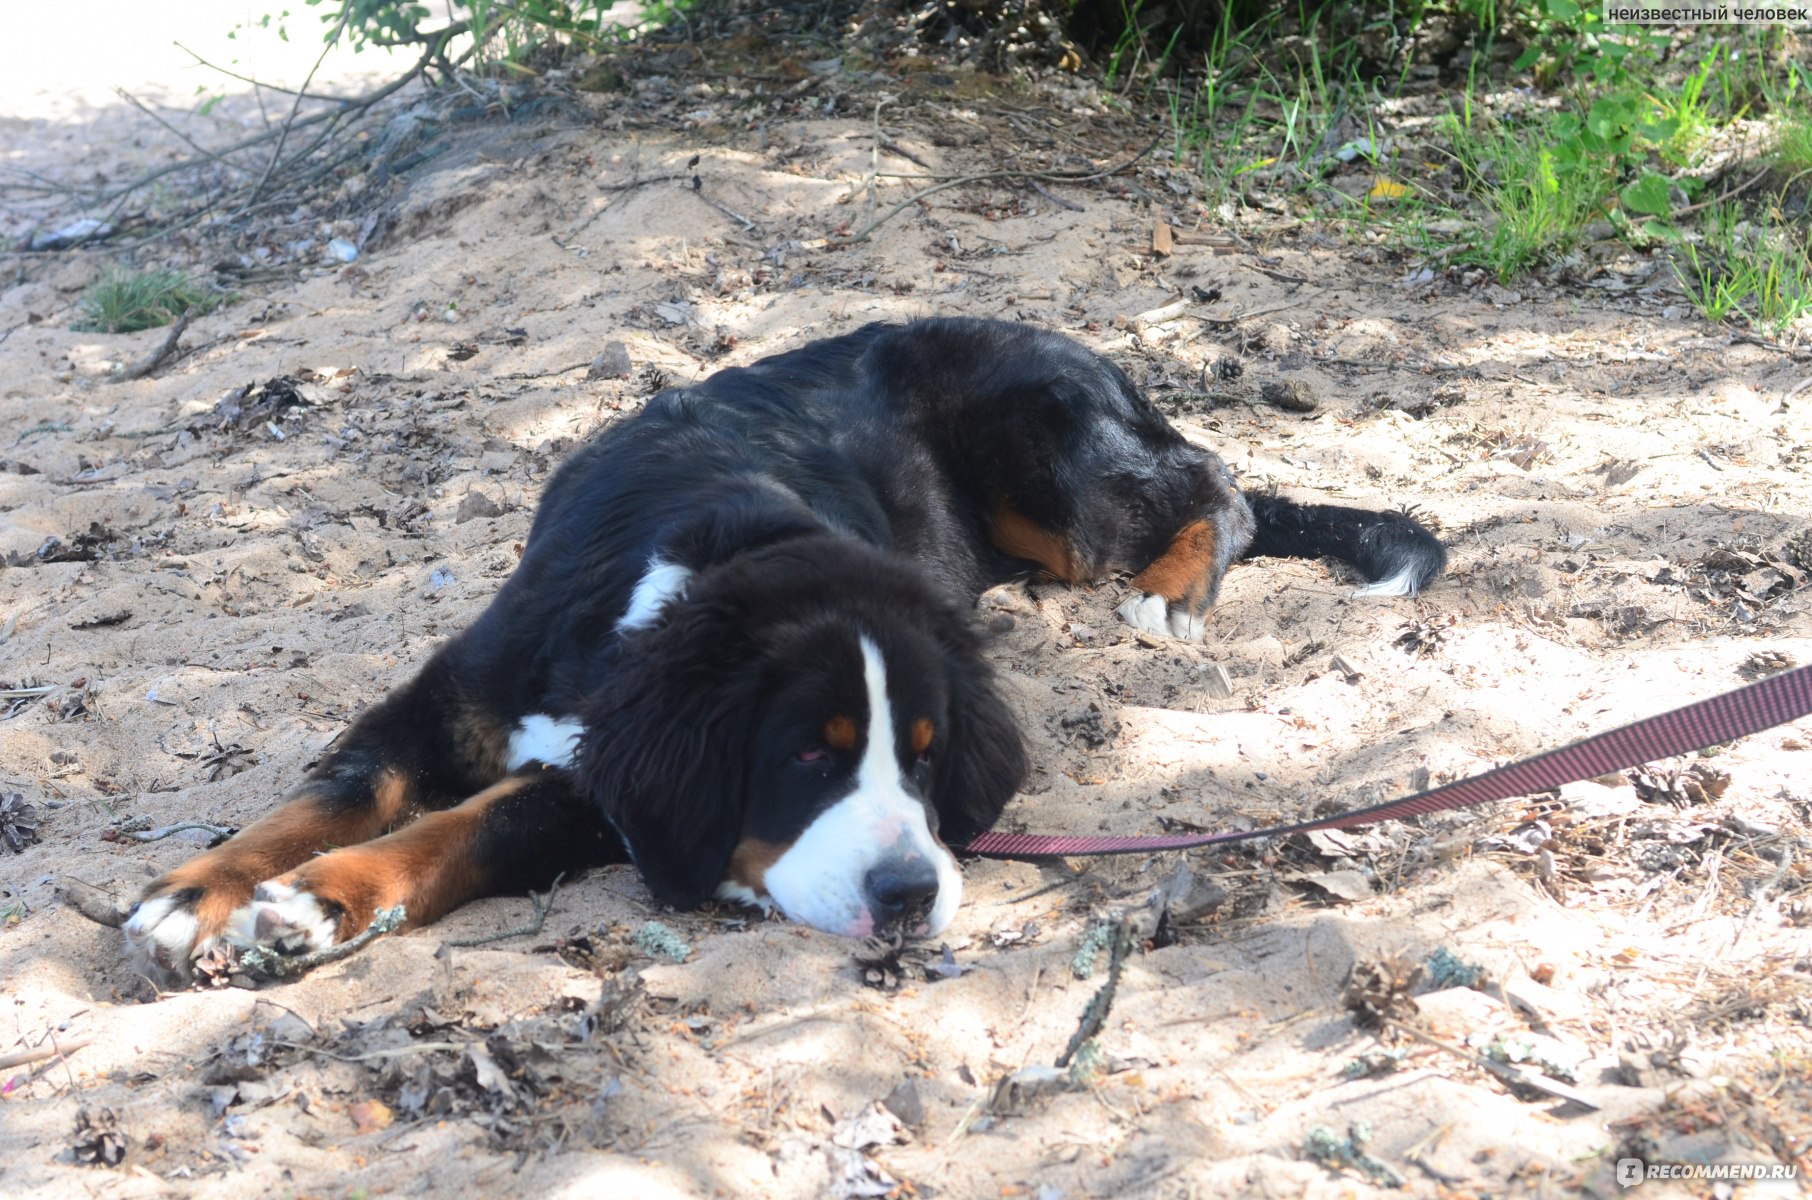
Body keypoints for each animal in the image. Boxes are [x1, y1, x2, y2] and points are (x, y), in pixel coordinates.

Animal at [124, 317, 1442, 986]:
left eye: (922, 759)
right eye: (807, 758)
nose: (911, 896)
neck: (681, 574)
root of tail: (1088, 352)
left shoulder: (595, 788)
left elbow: (468, 828)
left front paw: (319, 903)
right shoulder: (451, 693)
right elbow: (333, 794)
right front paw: (199, 890)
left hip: (1060, 477)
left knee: (1220, 485)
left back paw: (1169, 597)